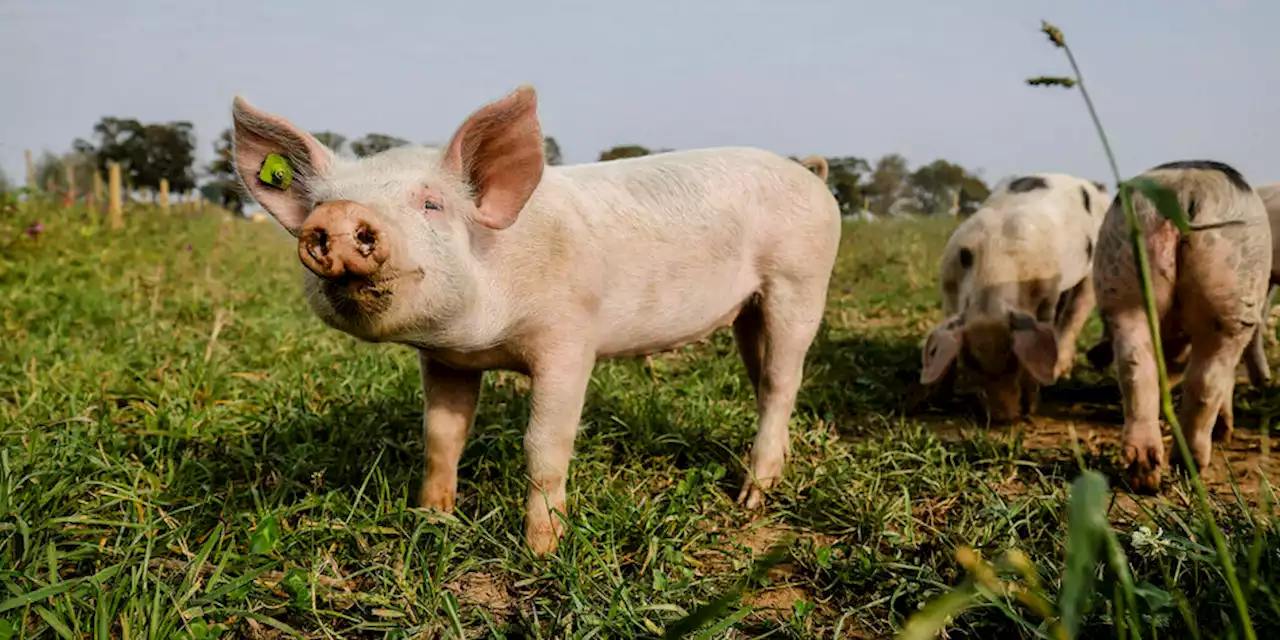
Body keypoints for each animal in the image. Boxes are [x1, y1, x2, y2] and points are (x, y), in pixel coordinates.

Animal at [232, 83, 839, 555]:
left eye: (432, 204)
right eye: (320, 205)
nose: (338, 216)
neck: (482, 337)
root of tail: (808, 173)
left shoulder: (569, 341)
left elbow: (544, 444)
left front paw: (542, 551)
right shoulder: (445, 360)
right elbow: (441, 436)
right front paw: (432, 520)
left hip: (800, 281)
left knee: (783, 381)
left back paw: (753, 498)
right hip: (747, 310)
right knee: (764, 379)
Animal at [921, 171, 1111, 419]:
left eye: (1015, 361)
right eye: (972, 362)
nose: (1003, 416)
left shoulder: (1046, 294)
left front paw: (1032, 407)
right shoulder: (949, 287)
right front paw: (935, 401)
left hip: (1092, 271)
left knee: (1075, 313)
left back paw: (1061, 372)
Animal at [1090, 160, 1269, 488]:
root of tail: (1186, 189)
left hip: (1122, 277)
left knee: (1136, 366)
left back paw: (1146, 475)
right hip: (1235, 296)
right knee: (1209, 379)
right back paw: (1192, 465)